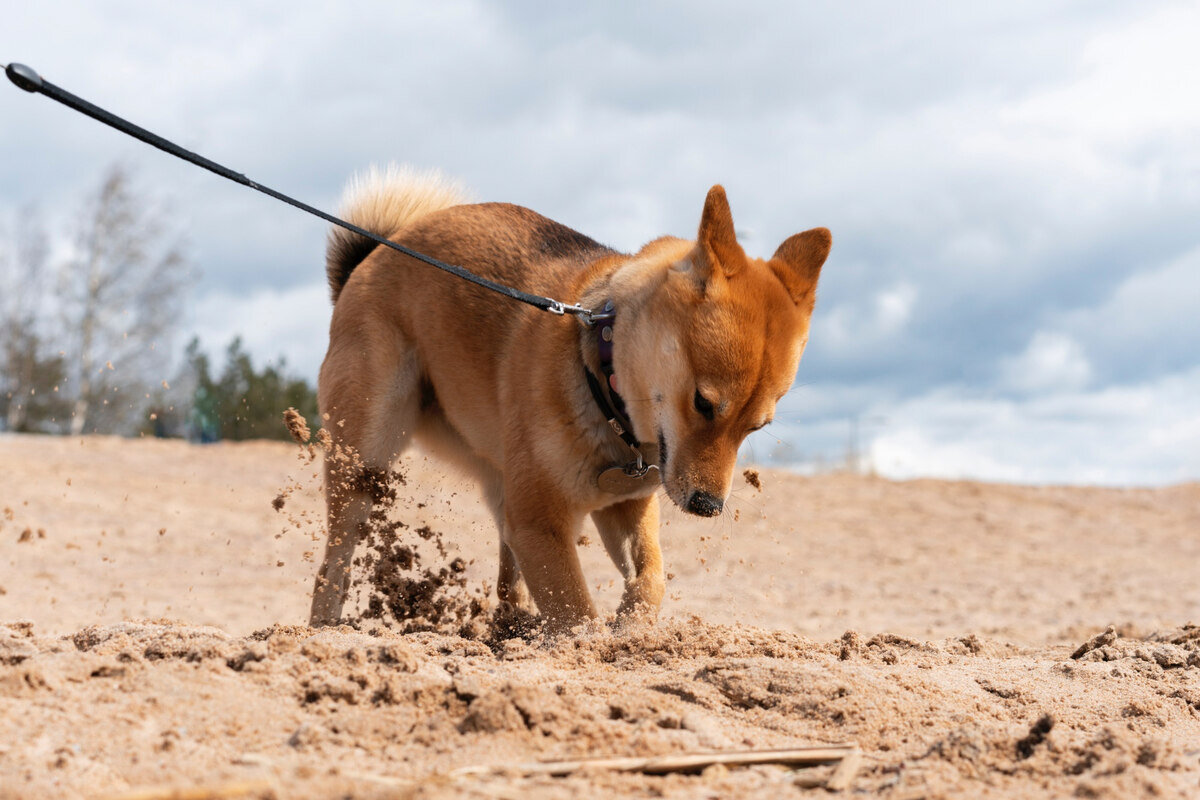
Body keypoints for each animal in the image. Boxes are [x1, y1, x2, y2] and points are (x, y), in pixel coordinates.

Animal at [309, 167, 830, 633]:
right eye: (703, 402)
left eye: (757, 427)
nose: (708, 507)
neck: (602, 379)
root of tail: (371, 256)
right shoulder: (541, 524)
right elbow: (575, 613)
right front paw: (590, 642)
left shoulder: (625, 510)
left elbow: (651, 579)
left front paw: (631, 629)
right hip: (365, 461)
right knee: (332, 566)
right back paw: (324, 629)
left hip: (499, 479)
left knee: (508, 576)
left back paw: (512, 627)